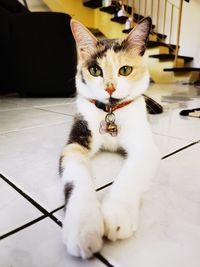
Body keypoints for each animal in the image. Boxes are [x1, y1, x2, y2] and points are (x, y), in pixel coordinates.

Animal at [59, 16, 159, 260]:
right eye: (95, 70)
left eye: (125, 69)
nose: (110, 88)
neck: (111, 111)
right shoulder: (76, 141)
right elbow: (76, 175)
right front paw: (83, 227)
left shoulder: (145, 145)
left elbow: (131, 174)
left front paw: (117, 213)